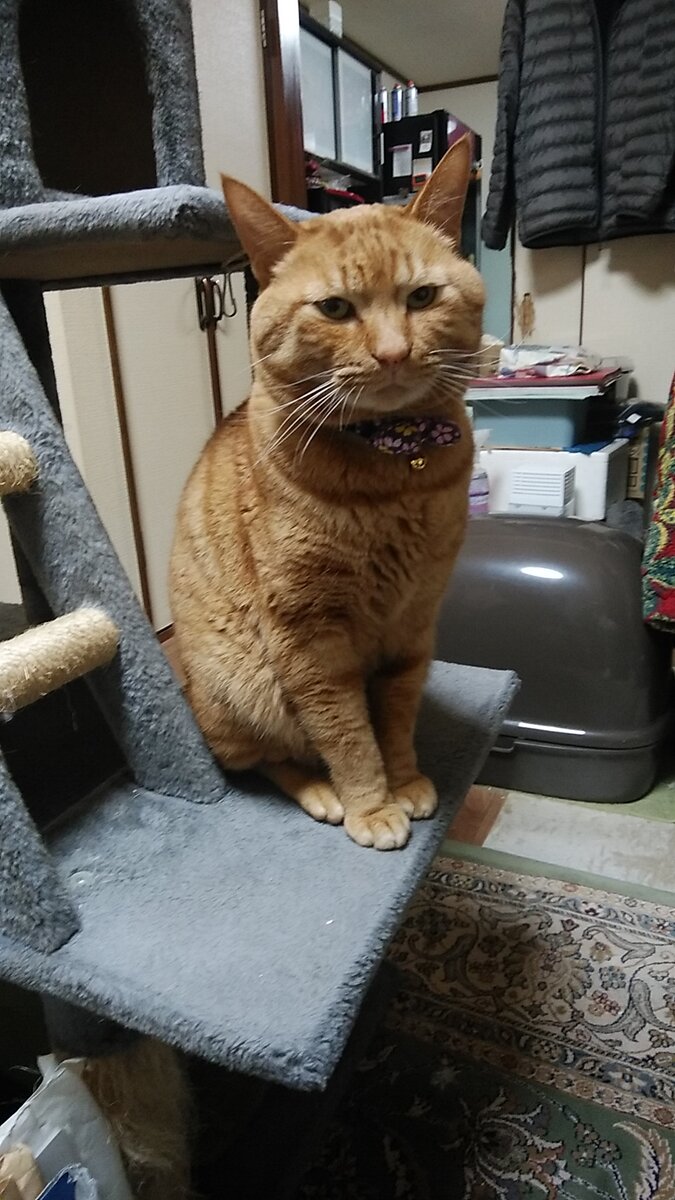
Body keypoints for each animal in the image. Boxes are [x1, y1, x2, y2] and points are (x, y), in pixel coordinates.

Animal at [170, 137, 485, 851]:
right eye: (336, 308)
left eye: (423, 297)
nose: (394, 353)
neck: (395, 470)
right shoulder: (310, 638)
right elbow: (346, 734)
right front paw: (372, 805)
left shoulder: (414, 624)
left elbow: (394, 718)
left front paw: (405, 780)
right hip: (245, 686)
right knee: (267, 759)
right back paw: (321, 792)